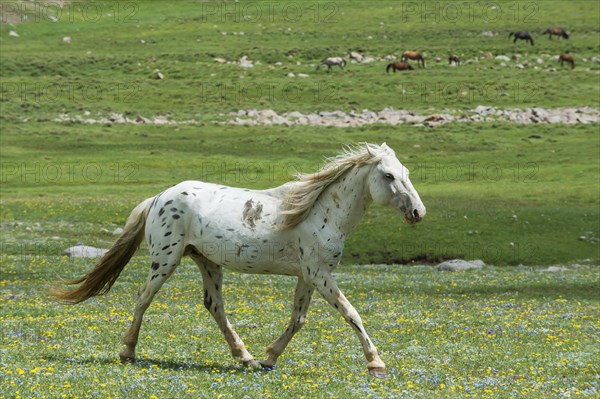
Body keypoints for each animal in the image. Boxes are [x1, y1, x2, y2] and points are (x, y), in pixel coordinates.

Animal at [51, 144, 426, 378]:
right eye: (388, 176)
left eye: (407, 171)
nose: (418, 213)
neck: (319, 213)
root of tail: (158, 197)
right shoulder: (319, 274)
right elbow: (351, 313)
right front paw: (376, 364)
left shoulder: (308, 276)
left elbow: (298, 319)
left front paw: (269, 358)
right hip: (166, 259)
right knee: (144, 298)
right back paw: (127, 352)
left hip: (207, 262)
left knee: (214, 306)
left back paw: (244, 357)